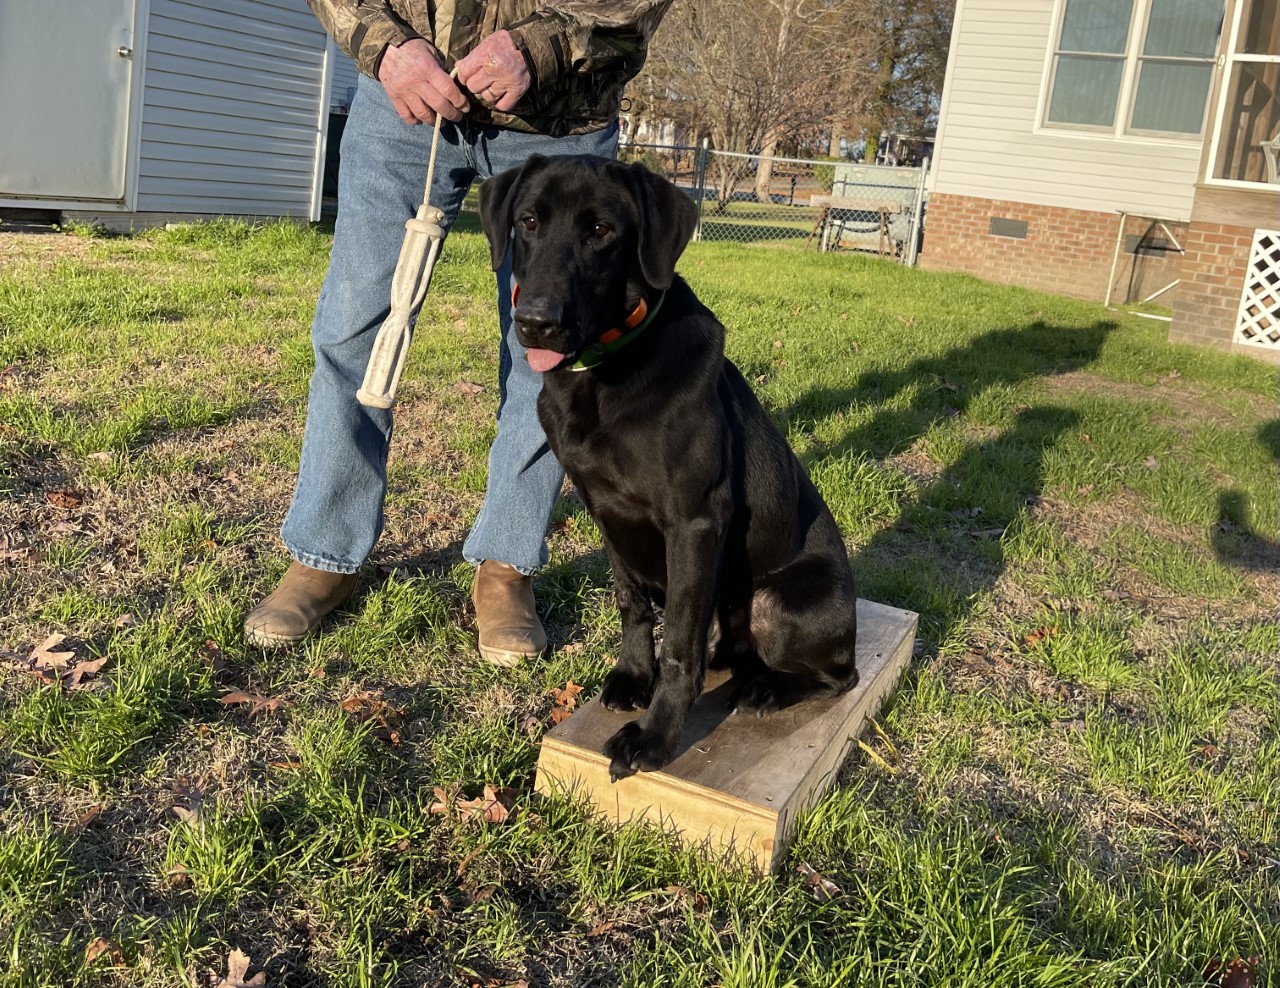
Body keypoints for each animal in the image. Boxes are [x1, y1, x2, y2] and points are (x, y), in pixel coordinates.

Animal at [481, 156, 860, 778]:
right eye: (529, 221)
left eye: (601, 231)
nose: (535, 321)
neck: (606, 372)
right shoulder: (606, 511)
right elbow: (632, 606)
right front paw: (636, 677)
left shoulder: (693, 523)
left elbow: (680, 645)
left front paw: (655, 737)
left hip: (778, 604)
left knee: (838, 676)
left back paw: (769, 689)